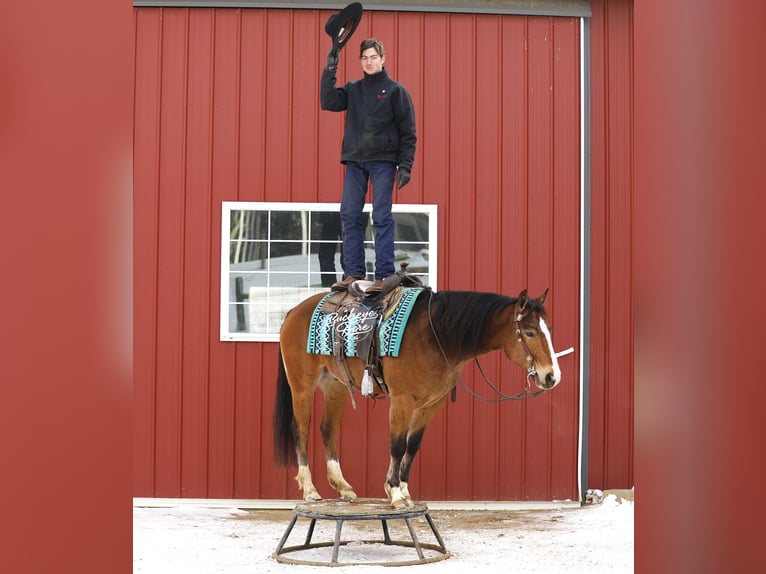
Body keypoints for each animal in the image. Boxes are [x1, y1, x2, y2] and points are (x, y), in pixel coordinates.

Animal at [272, 287, 561, 508]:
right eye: (530, 331)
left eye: (549, 329)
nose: (551, 376)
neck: (435, 336)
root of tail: (294, 311)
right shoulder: (402, 401)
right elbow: (397, 445)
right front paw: (395, 493)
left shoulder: (431, 404)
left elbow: (412, 446)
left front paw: (403, 490)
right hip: (302, 386)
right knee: (301, 430)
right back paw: (310, 489)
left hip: (336, 387)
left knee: (327, 429)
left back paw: (343, 486)